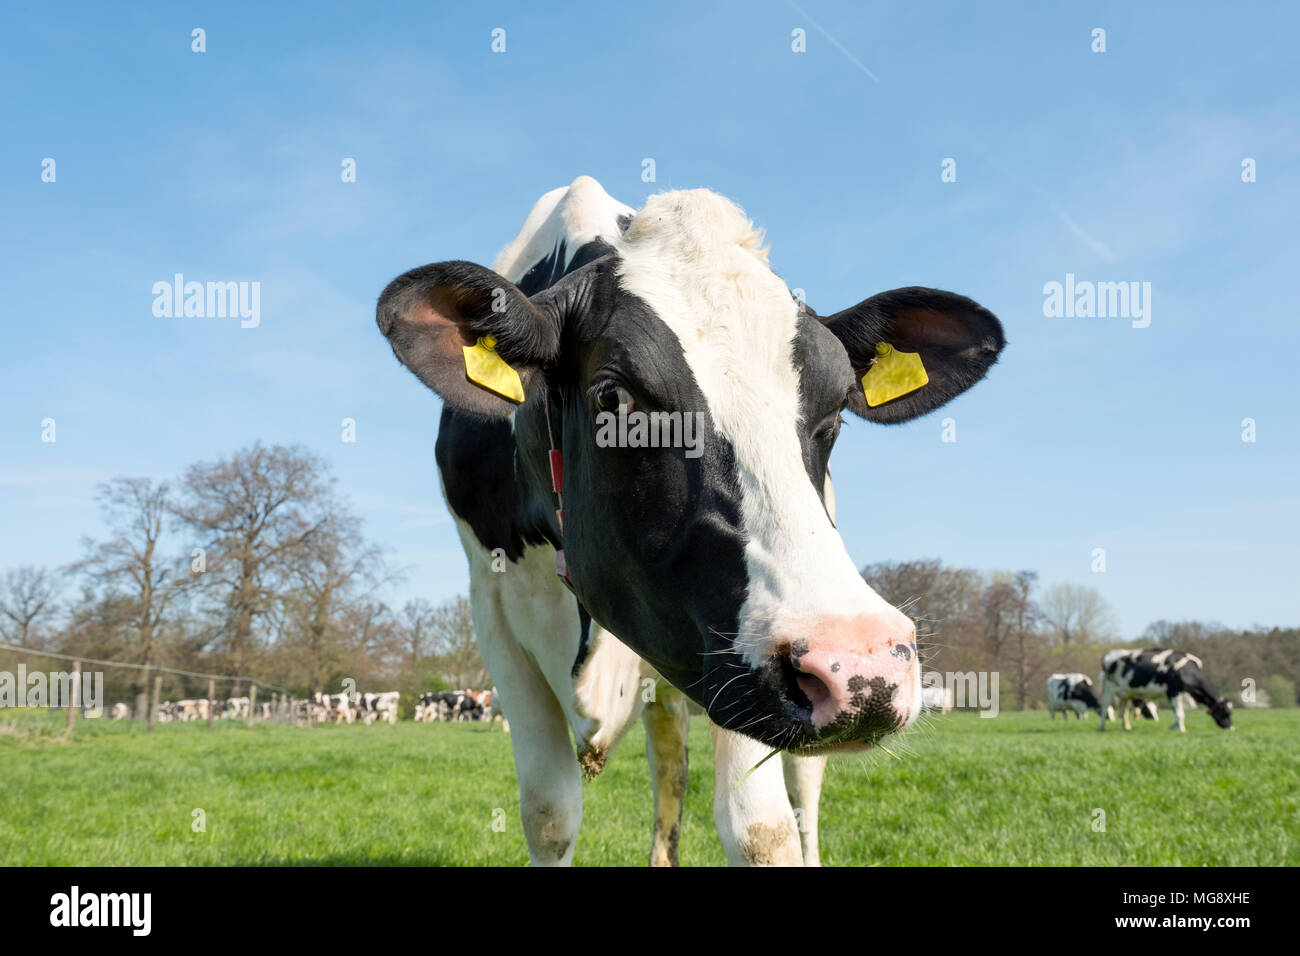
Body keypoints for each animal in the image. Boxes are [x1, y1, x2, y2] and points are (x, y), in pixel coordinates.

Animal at [377, 176, 1005, 865]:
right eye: (612, 397)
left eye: (839, 406)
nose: (860, 664)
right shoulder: (492, 605)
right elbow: (549, 812)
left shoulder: (737, 650)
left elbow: (763, 829)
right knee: (670, 770)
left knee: (803, 791)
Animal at [1098, 649, 1233, 732]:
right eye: (1224, 713)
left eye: (1230, 712)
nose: (1231, 728)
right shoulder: (1172, 691)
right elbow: (1180, 714)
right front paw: (1182, 730)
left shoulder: (1183, 693)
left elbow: (1182, 712)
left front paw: (1174, 727)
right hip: (1109, 689)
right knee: (1105, 708)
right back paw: (1102, 727)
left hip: (1125, 693)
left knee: (1123, 712)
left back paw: (1126, 727)